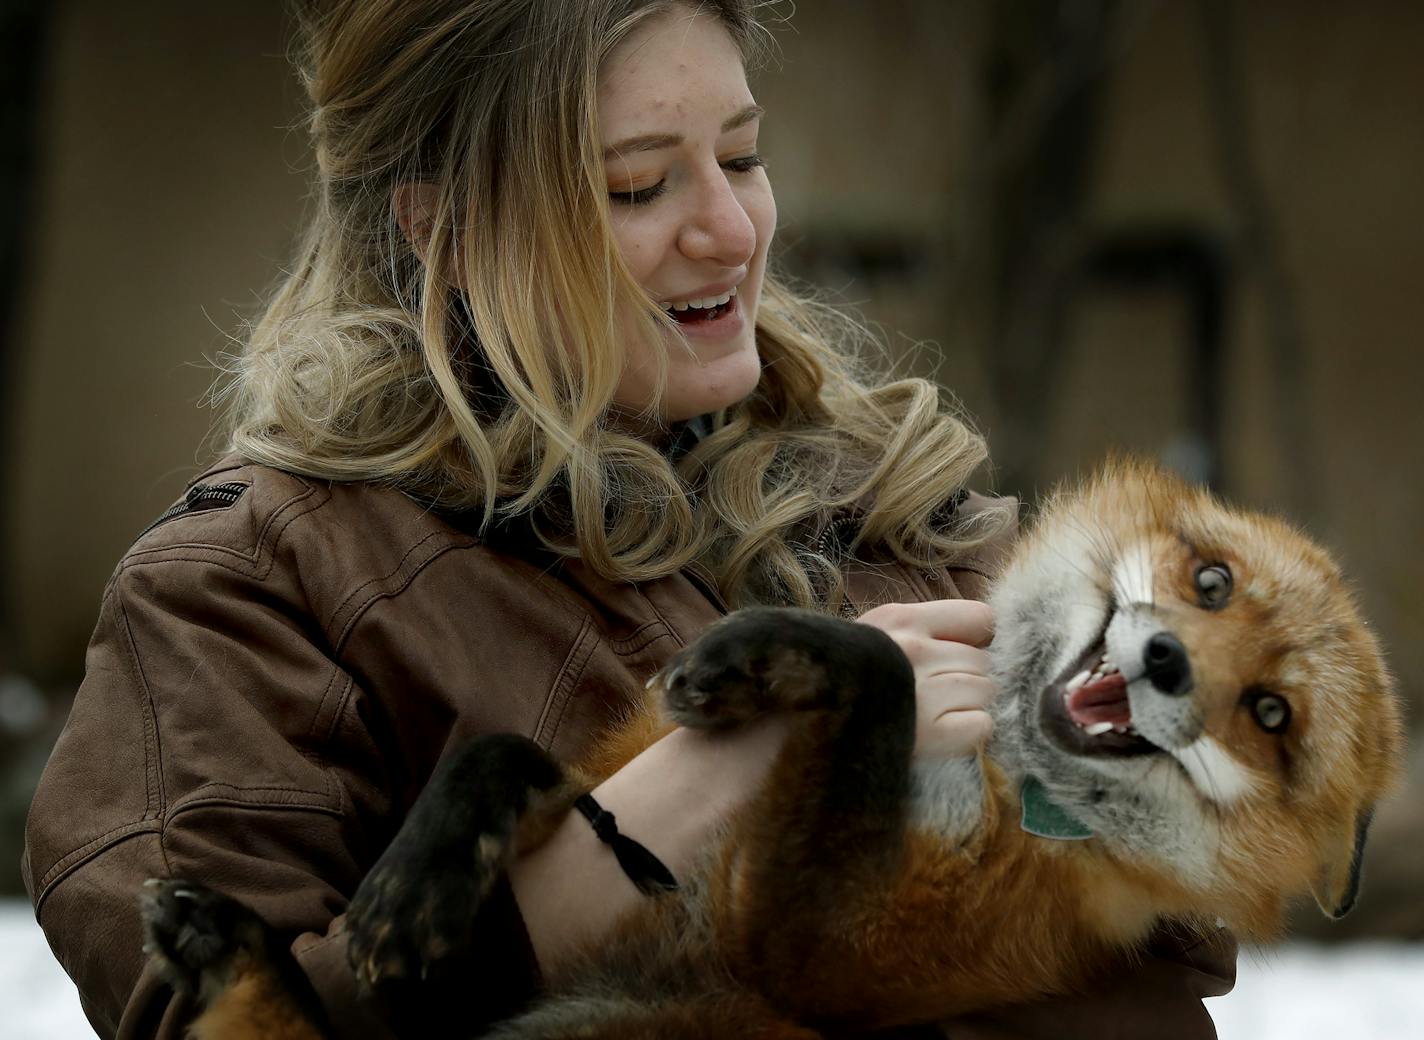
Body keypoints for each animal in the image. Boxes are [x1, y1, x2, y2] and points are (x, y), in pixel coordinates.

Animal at [138, 464, 1406, 1037]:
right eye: (1210, 583)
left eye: (1271, 715)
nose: (1168, 663)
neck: (990, 768)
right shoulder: (620, 784)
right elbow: (501, 754)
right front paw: (421, 875)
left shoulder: (809, 949)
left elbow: (881, 665)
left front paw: (785, 654)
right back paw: (227, 948)